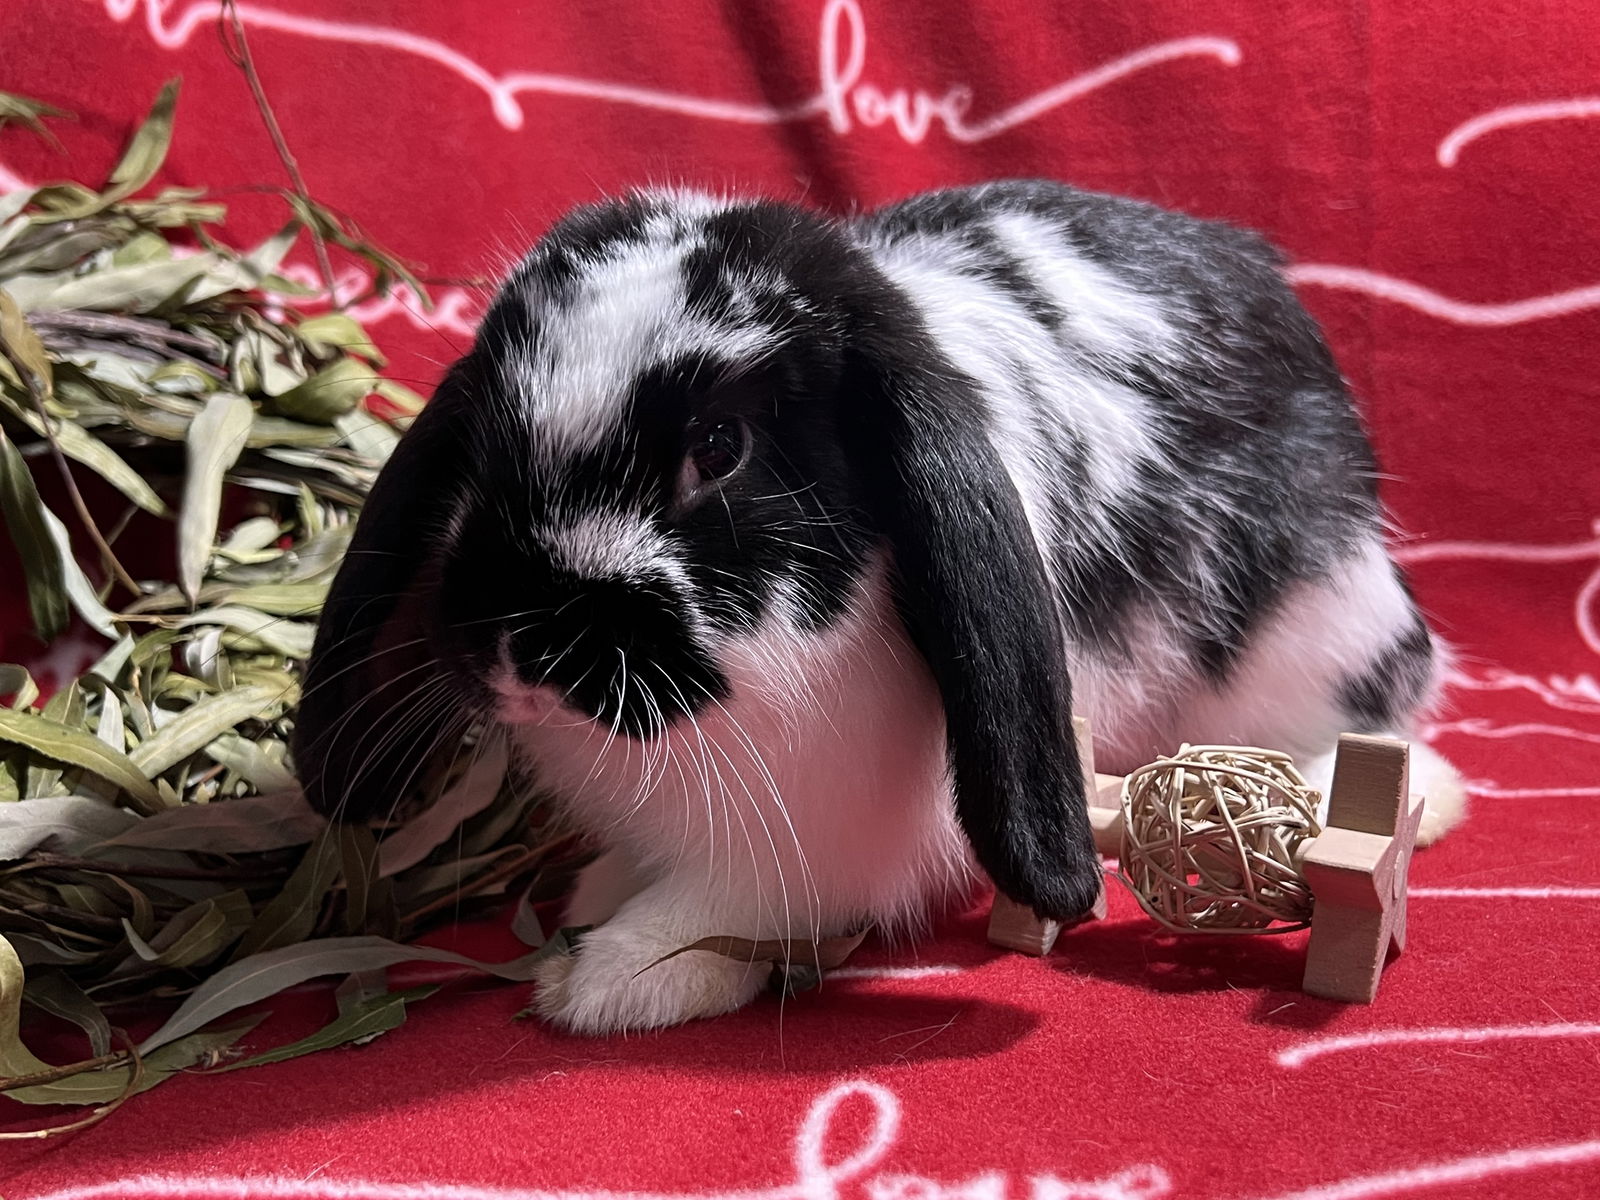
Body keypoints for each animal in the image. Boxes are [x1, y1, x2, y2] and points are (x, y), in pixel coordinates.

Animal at [294, 178, 1465, 1036]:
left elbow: (727, 911)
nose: (520, 648)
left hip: (1323, 638)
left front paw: (613, 978)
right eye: (482, 445)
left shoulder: (816, 837)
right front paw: (601, 893)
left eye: (718, 447)